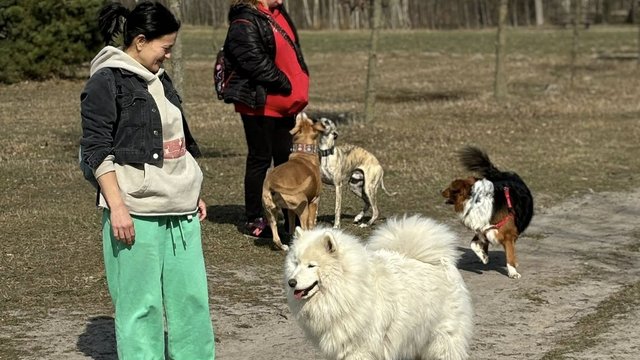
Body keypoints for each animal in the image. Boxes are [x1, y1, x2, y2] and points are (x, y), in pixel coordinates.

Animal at [262, 112, 328, 250]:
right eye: (312, 120)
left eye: (302, 120)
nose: (301, 112)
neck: (304, 152)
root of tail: (272, 182)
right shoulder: (314, 201)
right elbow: (311, 223)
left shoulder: (290, 210)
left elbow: (292, 227)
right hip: (303, 207)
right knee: (305, 226)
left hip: (271, 212)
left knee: (275, 236)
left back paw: (283, 246)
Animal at [282, 215, 472, 358]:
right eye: (296, 263)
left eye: (311, 266)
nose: (291, 282)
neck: (347, 287)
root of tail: (441, 260)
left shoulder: (359, 349)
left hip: (442, 339)